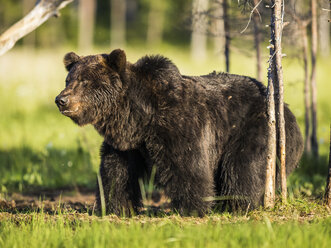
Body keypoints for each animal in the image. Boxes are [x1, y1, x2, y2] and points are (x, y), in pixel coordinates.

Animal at [55, 48, 304, 215]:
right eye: (69, 79)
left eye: (85, 81)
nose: (61, 100)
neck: (138, 117)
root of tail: (286, 109)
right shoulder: (125, 145)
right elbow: (116, 173)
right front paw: (115, 207)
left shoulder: (178, 126)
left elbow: (188, 167)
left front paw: (191, 208)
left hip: (254, 128)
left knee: (243, 168)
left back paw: (238, 204)